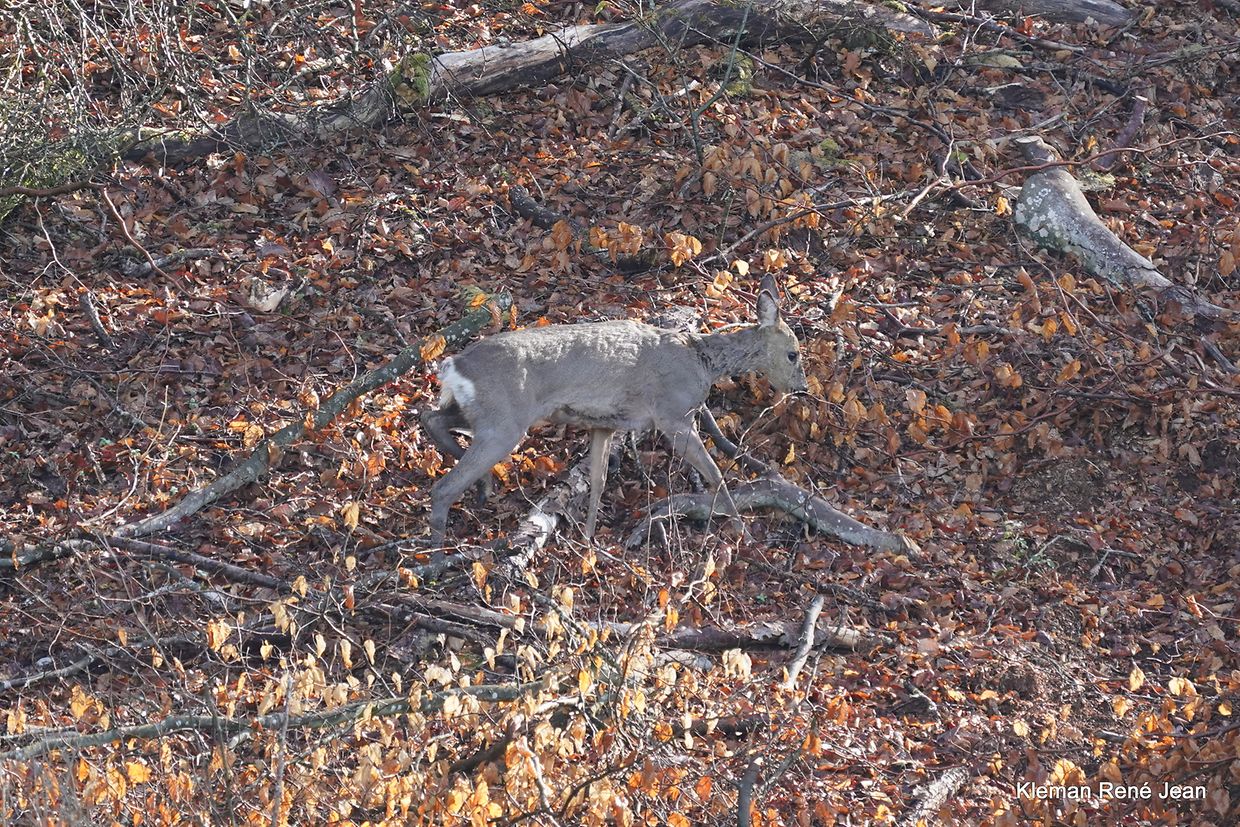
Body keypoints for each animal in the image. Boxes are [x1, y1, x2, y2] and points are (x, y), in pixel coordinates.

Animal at [421, 275, 808, 547]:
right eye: (793, 353)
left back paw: (482, 488)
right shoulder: (673, 415)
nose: (802, 387)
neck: (701, 361)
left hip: (482, 413)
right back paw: (438, 555)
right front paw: (743, 532)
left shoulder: (604, 425)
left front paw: (589, 541)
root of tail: (454, 365)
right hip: (503, 421)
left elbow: (598, 483)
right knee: (442, 487)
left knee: (432, 418)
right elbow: (715, 474)